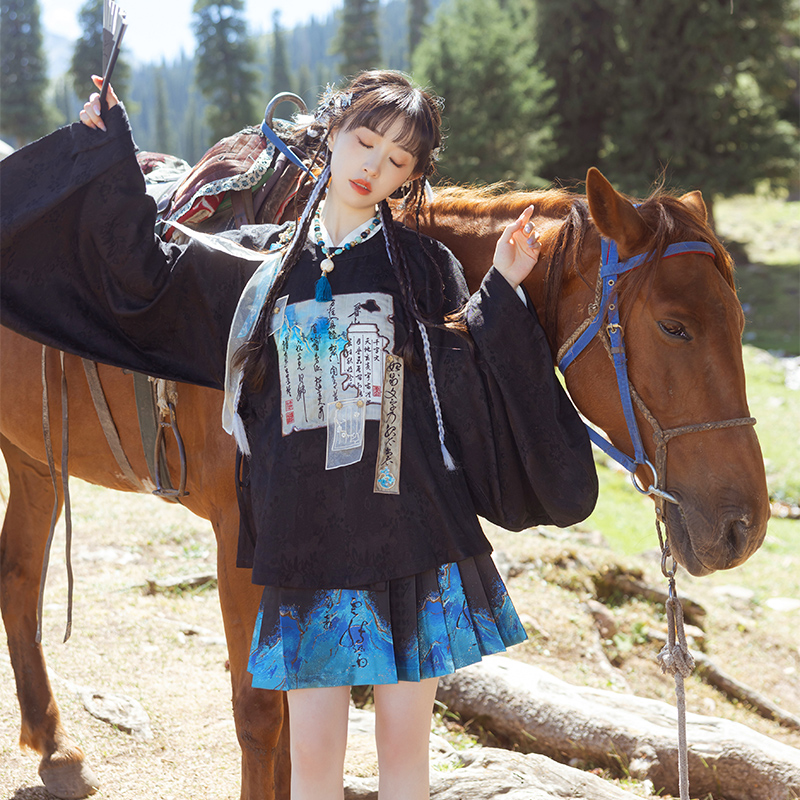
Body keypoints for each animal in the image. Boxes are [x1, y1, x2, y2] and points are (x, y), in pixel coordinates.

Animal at [0, 169, 768, 800]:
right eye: (674, 326)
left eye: (740, 323)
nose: (745, 528)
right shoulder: (244, 538)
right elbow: (261, 713)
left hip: (33, 457)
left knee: (19, 574)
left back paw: (56, 749)